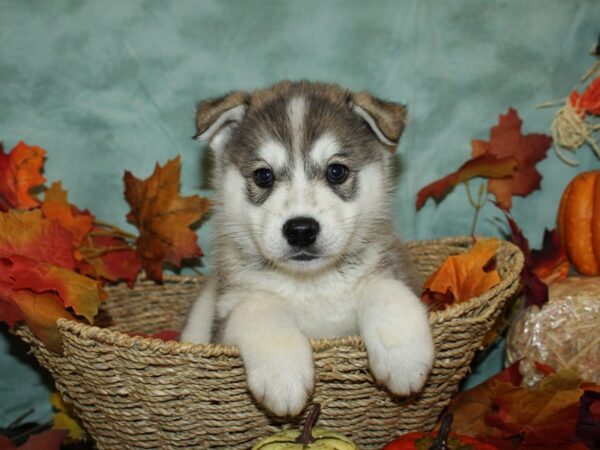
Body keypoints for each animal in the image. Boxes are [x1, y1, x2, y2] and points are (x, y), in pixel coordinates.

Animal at [180, 81, 434, 418]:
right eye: (264, 175)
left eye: (336, 171)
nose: (301, 230)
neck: (310, 285)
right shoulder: (225, 315)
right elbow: (259, 307)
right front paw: (283, 375)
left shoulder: (386, 268)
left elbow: (385, 288)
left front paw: (404, 356)